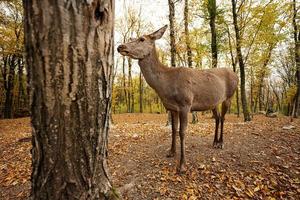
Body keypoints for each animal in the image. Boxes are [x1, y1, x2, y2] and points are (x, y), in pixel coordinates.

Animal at [117, 25, 239, 172]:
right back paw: (214, 142)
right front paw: (171, 152)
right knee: (218, 118)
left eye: (142, 39)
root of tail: (236, 75)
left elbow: (182, 132)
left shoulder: (185, 104)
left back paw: (221, 143)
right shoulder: (172, 108)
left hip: (229, 96)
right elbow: (173, 129)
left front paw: (182, 165)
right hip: (214, 102)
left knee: (224, 118)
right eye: (131, 38)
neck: (166, 85)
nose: (120, 46)